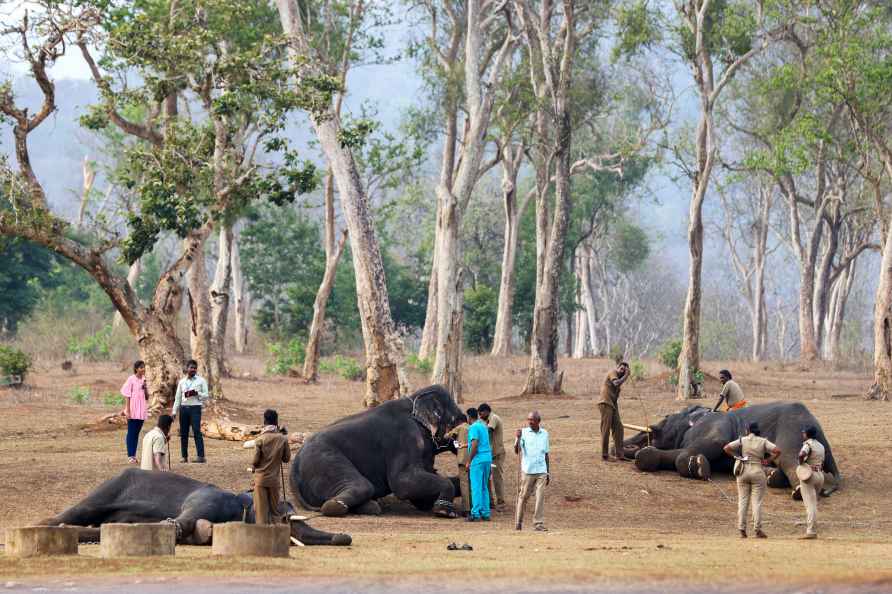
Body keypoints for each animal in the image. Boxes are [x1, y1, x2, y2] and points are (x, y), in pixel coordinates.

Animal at [38, 464, 352, 544]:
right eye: (284, 517)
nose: (344, 537)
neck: (240, 500)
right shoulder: (204, 500)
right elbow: (186, 518)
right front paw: (174, 528)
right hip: (106, 491)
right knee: (74, 513)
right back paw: (48, 525)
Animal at [292, 384, 466, 512]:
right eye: (458, 420)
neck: (414, 399)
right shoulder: (404, 437)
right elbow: (403, 482)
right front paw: (444, 512)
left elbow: (421, 498)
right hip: (323, 461)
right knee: (363, 487)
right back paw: (341, 506)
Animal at [624, 398, 840, 494]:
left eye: (666, 418)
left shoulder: (715, 427)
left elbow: (713, 444)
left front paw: (700, 467)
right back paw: (772, 476)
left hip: (793, 433)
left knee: (791, 459)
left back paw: (799, 492)